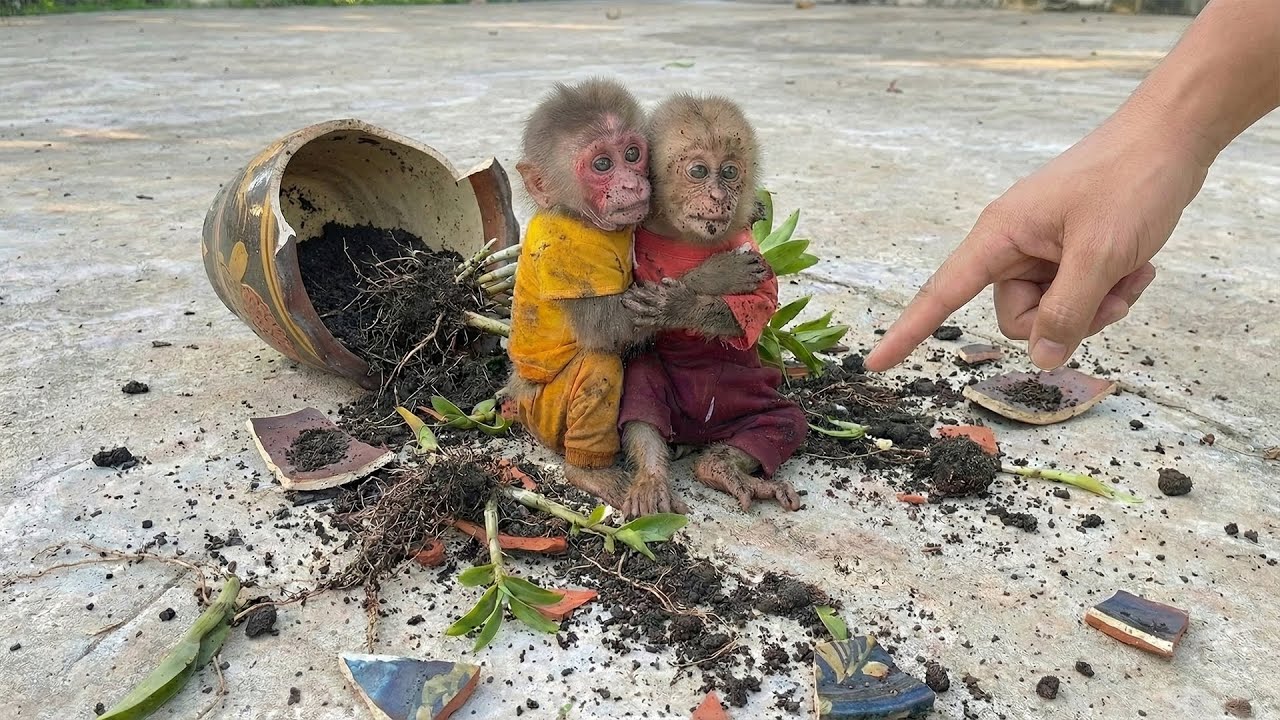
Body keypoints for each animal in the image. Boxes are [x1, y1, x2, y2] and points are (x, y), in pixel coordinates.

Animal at [501, 78, 767, 508]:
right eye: (602, 165)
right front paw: (710, 279)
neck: (577, 215)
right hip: (542, 414)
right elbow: (608, 327)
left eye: (631, 154)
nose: (630, 182)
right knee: (600, 367)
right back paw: (595, 472)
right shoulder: (569, 253)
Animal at [614, 93, 808, 518]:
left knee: (785, 420)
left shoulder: (753, 250)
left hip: (747, 399)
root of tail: (696, 434)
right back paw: (652, 478)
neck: (684, 238)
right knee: (641, 392)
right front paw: (711, 278)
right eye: (699, 171)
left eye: (731, 172)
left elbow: (751, 309)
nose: (719, 197)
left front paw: (678, 305)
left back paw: (720, 467)